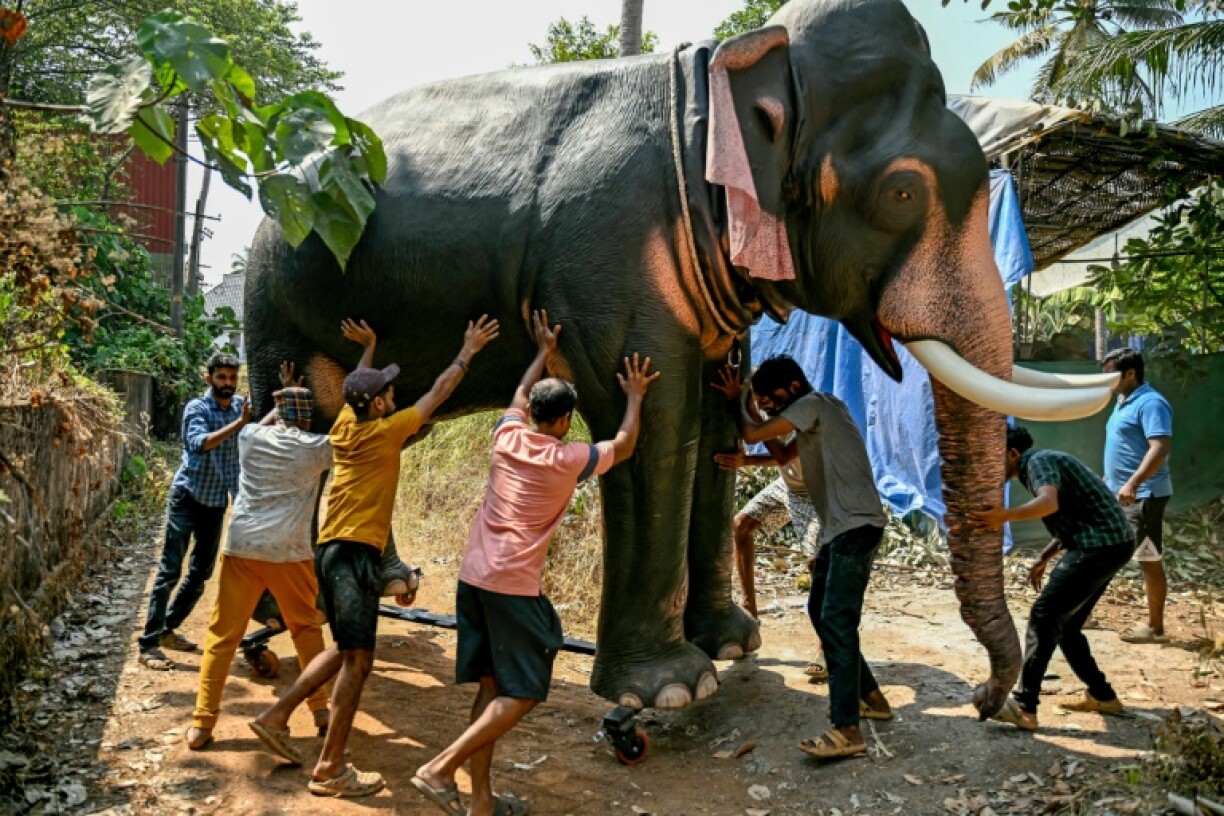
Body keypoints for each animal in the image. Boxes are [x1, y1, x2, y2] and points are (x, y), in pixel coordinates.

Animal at [245, 0, 1112, 717]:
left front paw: (732, 643)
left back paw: (388, 583)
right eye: (902, 192)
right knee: (297, 418)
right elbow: (655, 425)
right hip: (269, 298)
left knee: (378, 428)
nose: (988, 700)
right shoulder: (609, 252)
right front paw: (668, 690)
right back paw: (283, 611)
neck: (724, 75)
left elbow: (715, 425)